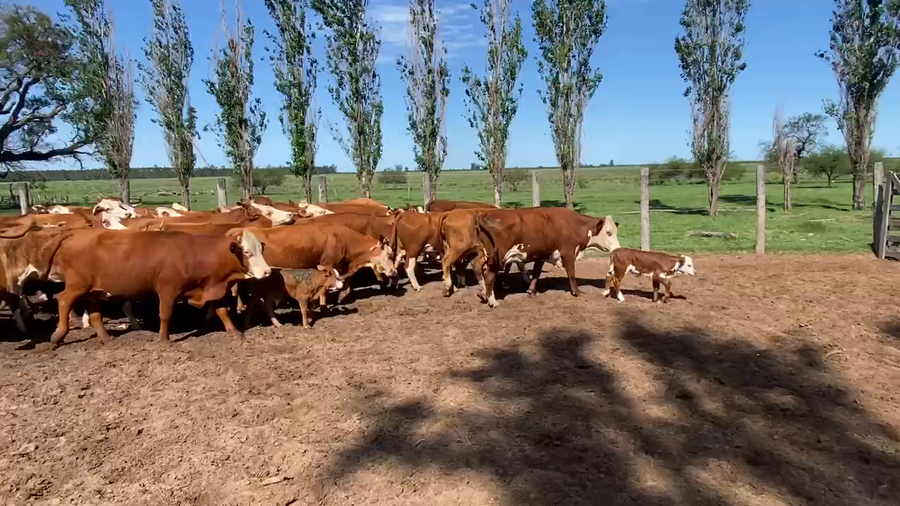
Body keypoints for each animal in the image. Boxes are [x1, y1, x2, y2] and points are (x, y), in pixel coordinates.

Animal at [46, 229, 271, 347]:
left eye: (260, 249)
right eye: (248, 252)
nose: (267, 272)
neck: (196, 254)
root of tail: (75, 234)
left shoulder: (210, 288)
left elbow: (222, 311)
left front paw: (235, 333)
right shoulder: (168, 290)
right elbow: (165, 315)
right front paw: (164, 339)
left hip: (95, 290)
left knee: (94, 313)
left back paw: (105, 337)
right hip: (78, 285)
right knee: (63, 300)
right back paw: (58, 335)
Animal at [476, 207, 621, 303]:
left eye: (615, 231)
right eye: (608, 232)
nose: (617, 248)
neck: (573, 225)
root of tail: (487, 214)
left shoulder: (542, 255)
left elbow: (536, 273)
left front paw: (531, 291)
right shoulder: (568, 253)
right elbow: (571, 274)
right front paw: (577, 292)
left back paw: (483, 294)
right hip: (497, 258)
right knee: (489, 276)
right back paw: (492, 301)